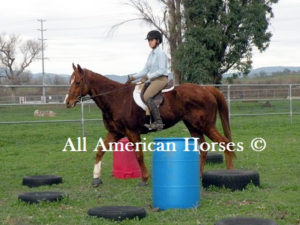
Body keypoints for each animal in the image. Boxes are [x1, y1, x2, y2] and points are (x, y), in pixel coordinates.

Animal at [65, 63, 234, 186]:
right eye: (70, 82)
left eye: (78, 82)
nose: (67, 102)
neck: (116, 98)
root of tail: (206, 89)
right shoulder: (115, 132)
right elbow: (100, 152)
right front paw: (96, 179)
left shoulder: (132, 132)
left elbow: (139, 155)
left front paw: (145, 178)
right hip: (193, 126)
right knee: (204, 149)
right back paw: (199, 176)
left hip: (206, 126)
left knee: (225, 143)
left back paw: (230, 172)